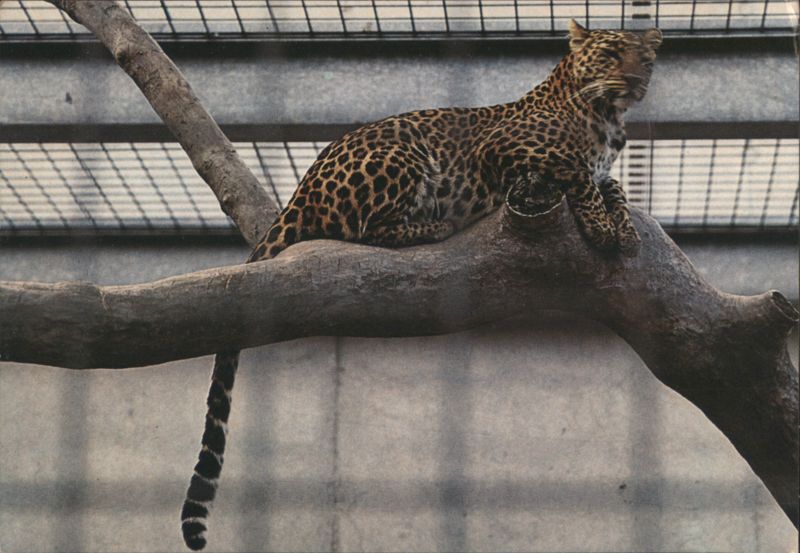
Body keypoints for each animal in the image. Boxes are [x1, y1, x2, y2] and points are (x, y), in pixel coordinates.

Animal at [181, 20, 662, 550]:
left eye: (645, 59)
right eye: (612, 54)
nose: (635, 78)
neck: (606, 118)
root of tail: (299, 194)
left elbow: (612, 186)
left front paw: (626, 231)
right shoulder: (508, 148)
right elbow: (577, 173)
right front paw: (602, 228)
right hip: (403, 151)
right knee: (370, 229)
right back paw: (437, 225)